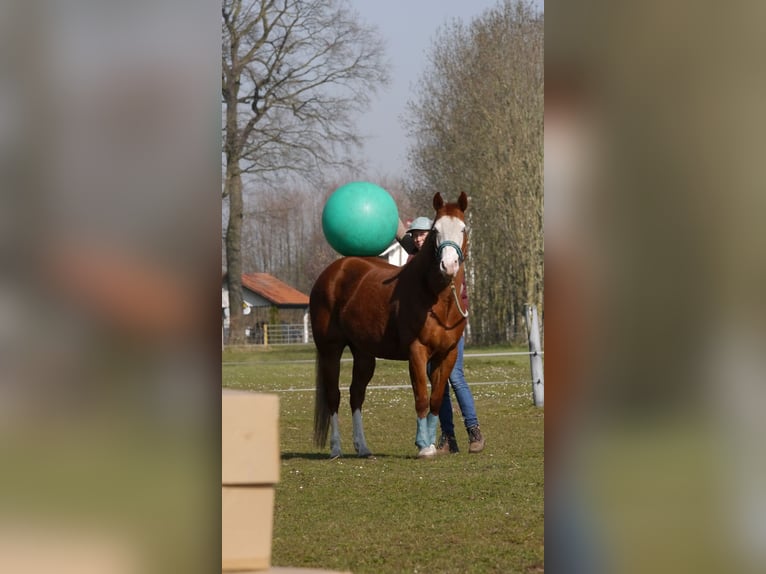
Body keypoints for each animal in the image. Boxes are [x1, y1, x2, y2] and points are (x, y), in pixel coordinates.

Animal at [310, 192, 469, 459]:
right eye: (435, 230)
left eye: (463, 229)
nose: (449, 266)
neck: (435, 298)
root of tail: (333, 272)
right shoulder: (417, 352)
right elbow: (421, 397)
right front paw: (423, 446)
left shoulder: (447, 354)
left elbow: (436, 400)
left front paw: (431, 443)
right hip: (330, 350)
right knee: (334, 396)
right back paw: (336, 448)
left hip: (364, 354)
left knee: (356, 395)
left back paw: (363, 447)